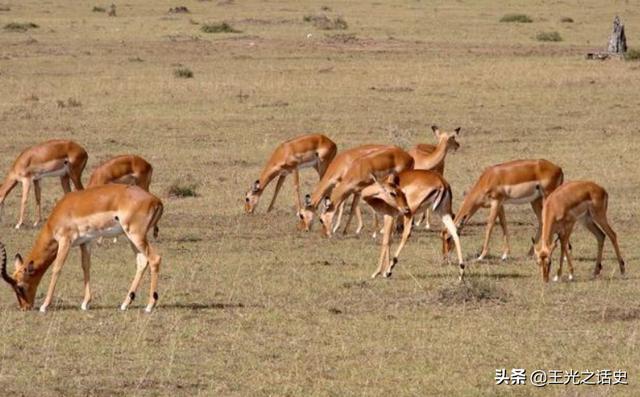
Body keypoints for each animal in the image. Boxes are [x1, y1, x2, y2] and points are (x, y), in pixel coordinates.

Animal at [0, 184, 164, 310]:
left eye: (20, 286)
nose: (25, 307)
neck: (63, 211)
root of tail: (156, 200)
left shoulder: (65, 241)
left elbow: (57, 269)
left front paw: (44, 306)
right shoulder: (85, 242)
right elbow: (86, 266)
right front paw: (85, 303)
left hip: (136, 235)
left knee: (155, 259)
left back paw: (149, 306)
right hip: (131, 238)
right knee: (142, 262)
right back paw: (124, 304)